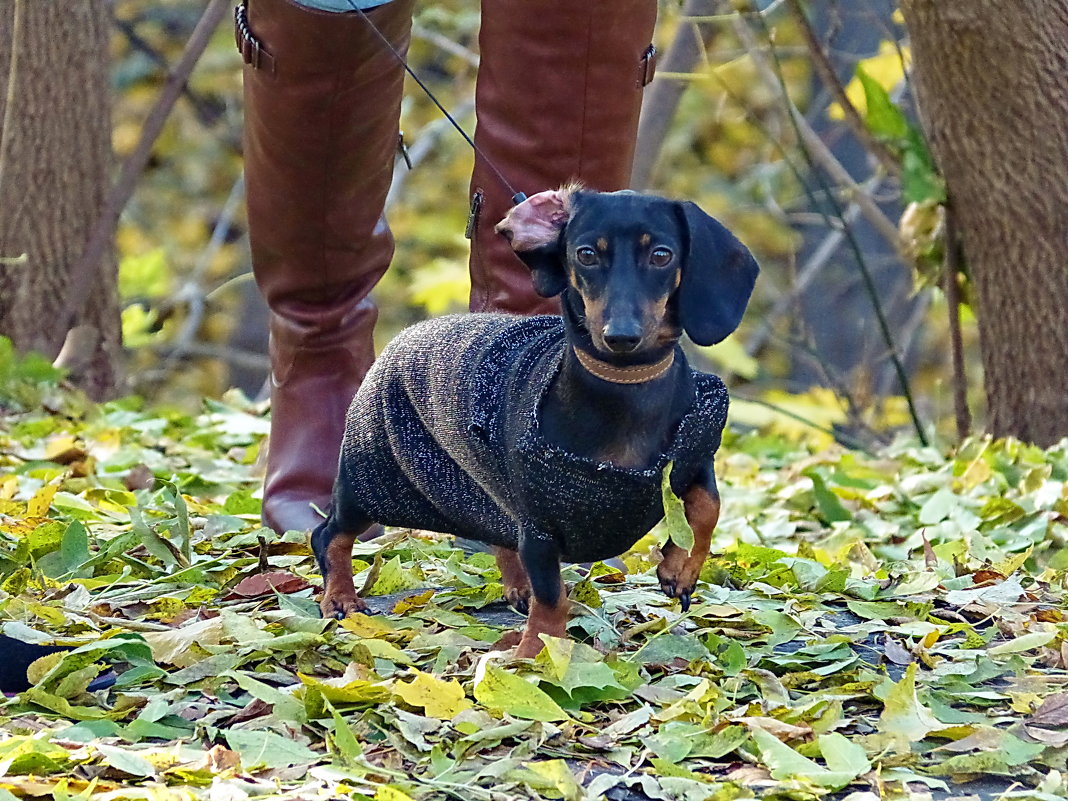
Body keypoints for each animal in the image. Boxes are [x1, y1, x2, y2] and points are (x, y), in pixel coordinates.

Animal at [309, 187, 760, 657]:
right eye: (585, 254)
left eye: (661, 255)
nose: (621, 336)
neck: (626, 388)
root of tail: (409, 333)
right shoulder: (540, 525)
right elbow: (552, 593)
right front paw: (536, 652)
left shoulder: (694, 454)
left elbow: (708, 507)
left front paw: (680, 567)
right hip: (369, 483)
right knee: (329, 534)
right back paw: (340, 598)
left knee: (502, 537)